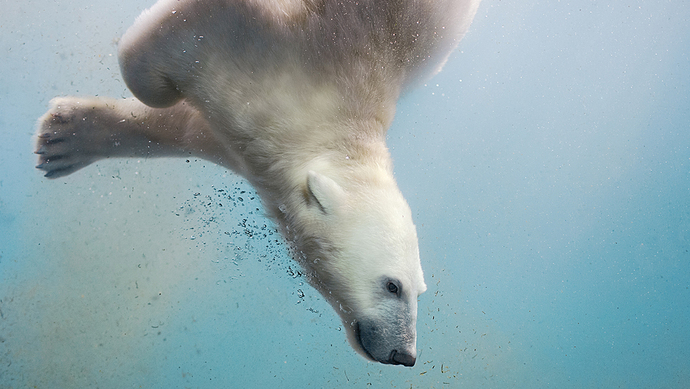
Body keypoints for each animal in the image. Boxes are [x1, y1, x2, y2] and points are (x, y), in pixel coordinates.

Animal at [33, 0, 478, 366]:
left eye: (420, 291)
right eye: (392, 286)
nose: (406, 355)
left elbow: (187, 127)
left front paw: (64, 137)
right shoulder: (286, 42)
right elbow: (162, 73)